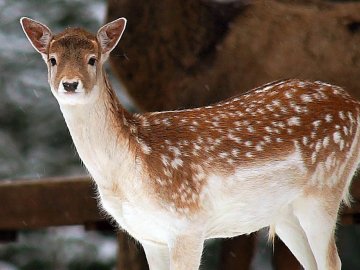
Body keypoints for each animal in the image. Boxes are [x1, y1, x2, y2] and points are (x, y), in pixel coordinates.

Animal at [20, 16, 360, 270]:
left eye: (93, 59)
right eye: (52, 60)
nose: (70, 84)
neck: (132, 168)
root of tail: (353, 104)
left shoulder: (188, 224)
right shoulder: (149, 236)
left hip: (324, 190)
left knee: (332, 262)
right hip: (284, 212)